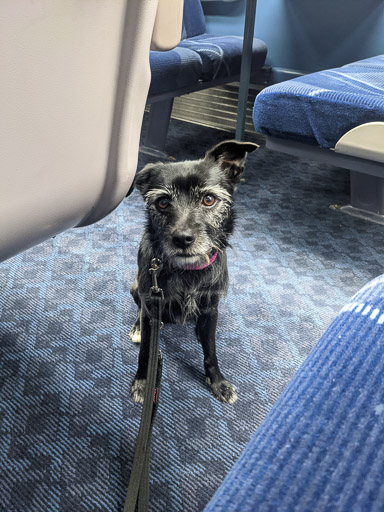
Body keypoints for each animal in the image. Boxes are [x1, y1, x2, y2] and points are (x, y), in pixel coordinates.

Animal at [129, 140, 258, 404]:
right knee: (139, 312)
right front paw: (144, 382)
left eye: (208, 199)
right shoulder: (152, 306)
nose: (182, 239)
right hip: (136, 287)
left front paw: (217, 381)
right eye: (163, 202)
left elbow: (211, 351)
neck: (186, 271)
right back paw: (137, 327)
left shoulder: (210, 306)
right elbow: (147, 350)